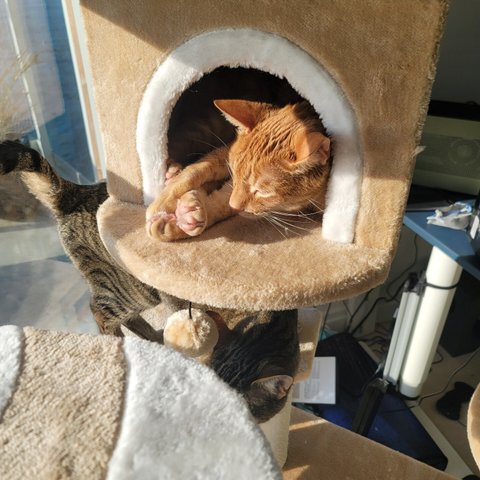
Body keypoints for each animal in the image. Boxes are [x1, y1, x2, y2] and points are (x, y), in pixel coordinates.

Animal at [146, 98, 332, 240]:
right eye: (234, 174)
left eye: (263, 192)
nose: (235, 206)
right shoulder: (224, 155)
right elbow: (198, 169)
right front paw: (164, 201)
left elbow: (223, 203)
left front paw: (187, 217)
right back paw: (171, 168)